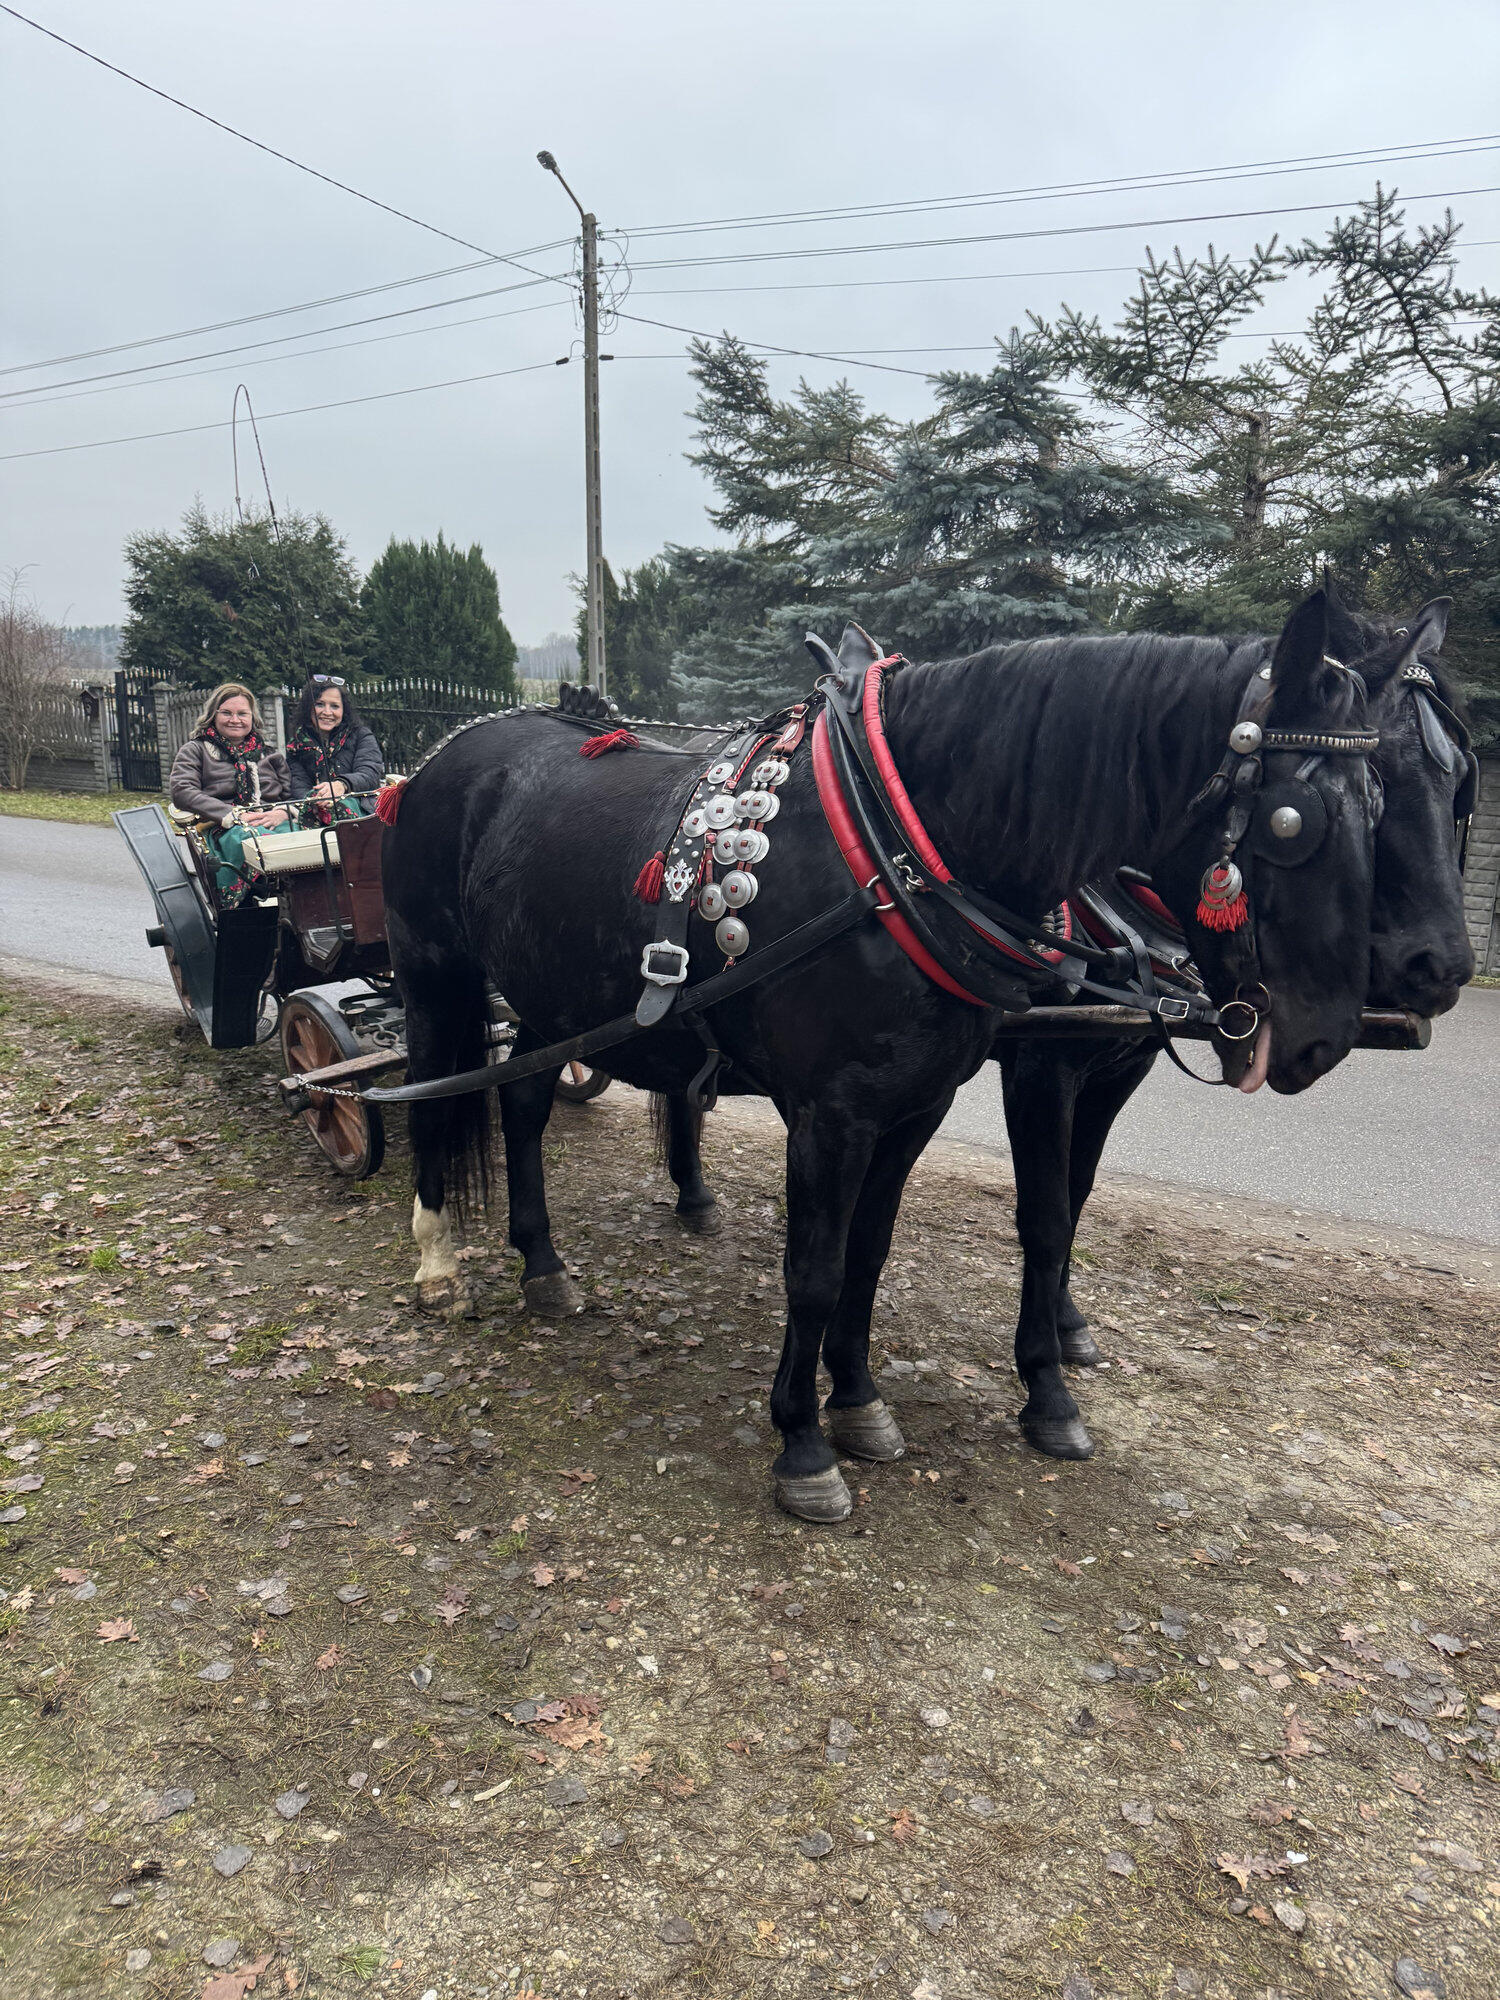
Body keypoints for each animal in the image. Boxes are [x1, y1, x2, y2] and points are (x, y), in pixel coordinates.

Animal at [382, 588, 1386, 1521]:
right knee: (432, 1097)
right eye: (1294, 821)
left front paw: (859, 1404)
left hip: (549, 1000)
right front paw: (802, 1445)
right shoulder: (833, 1116)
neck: (895, 853)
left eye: (1378, 803)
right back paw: (438, 1263)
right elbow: (817, 1269)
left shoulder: (914, 1107)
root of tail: (443, 757)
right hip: (435, 975)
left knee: (521, 1106)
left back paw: (543, 1265)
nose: (1324, 1036)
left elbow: (868, 1255)